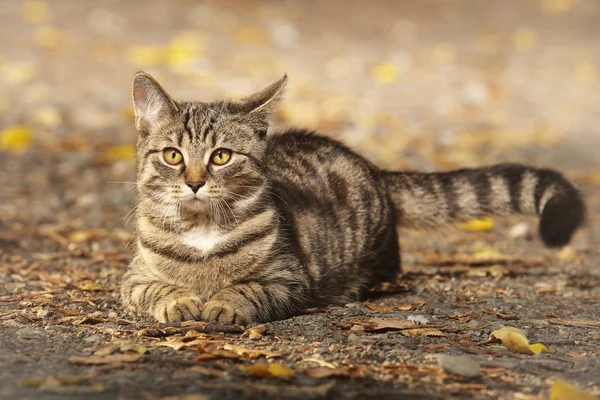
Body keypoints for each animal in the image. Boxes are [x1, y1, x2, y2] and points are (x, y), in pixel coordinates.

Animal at [120, 72, 584, 324]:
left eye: (221, 156)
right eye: (173, 155)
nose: (195, 182)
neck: (202, 229)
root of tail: (374, 169)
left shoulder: (290, 279)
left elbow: (248, 288)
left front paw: (223, 303)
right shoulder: (132, 279)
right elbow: (155, 289)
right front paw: (181, 301)